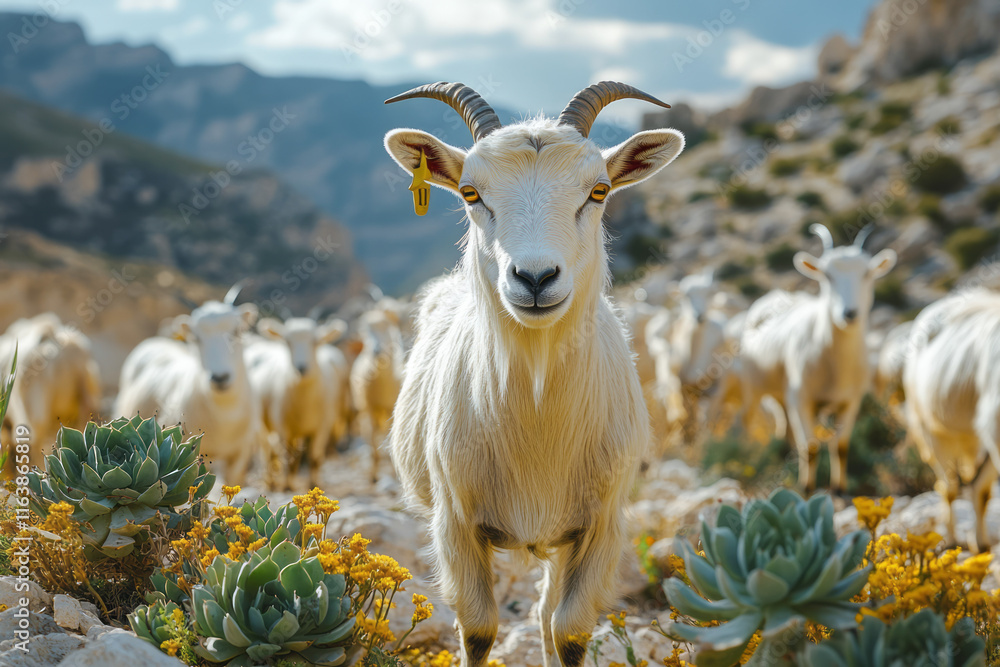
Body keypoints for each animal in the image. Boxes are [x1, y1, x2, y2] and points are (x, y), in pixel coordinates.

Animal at [384, 81, 683, 667]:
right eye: (470, 193)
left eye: (599, 190)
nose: (536, 277)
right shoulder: (454, 524)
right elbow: (478, 630)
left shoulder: (600, 527)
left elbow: (568, 632)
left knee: (546, 616)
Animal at [737, 224, 896, 493]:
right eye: (827, 276)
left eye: (867, 273)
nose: (849, 313)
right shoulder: (802, 398)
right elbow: (810, 447)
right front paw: (806, 488)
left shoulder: (851, 401)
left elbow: (841, 446)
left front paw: (839, 489)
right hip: (754, 385)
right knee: (750, 420)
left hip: (784, 392)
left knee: (784, 422)